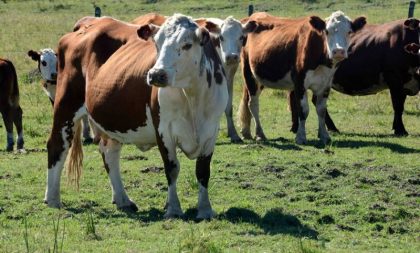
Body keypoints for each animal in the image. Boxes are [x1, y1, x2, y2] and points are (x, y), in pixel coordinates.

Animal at [44, 13, 228, 219]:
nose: (156, 74)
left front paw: (205, 210)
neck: (192, 96)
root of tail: (89, 22)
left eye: (187, 44)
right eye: (156, 42)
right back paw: (52, 198)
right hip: (66, 105)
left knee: (109, 153)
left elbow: (203, 170)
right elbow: (172, 168)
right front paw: (173, 209)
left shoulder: (211, 130)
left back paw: (122, 199)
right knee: (57, 145)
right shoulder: (163, 129)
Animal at [238, 11, 366, 144]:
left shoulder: (326, 84)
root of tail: (252, 17)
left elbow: (321, 110)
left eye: (349, 32)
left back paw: (247, 132)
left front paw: (324, 135)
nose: (338, 51)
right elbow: (303, 110)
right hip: (249, 74)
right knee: (253, 104)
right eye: (326, 31)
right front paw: (301, 136)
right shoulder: (299, 82)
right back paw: (260, 134)